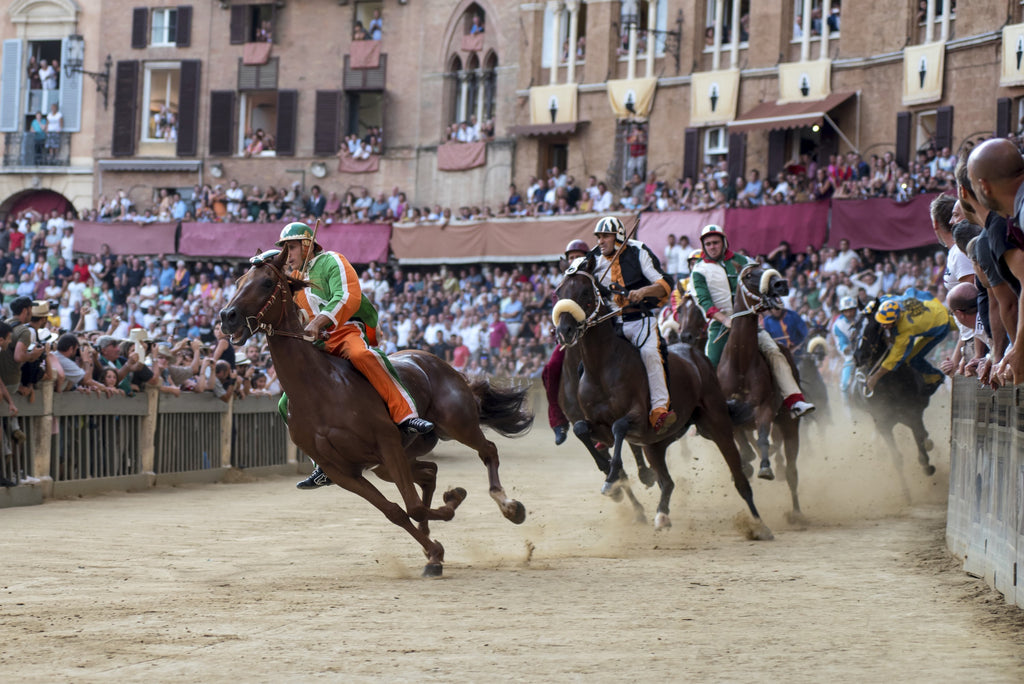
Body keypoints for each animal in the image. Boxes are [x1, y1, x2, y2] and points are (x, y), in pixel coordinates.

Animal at [221, 248, 532, 573]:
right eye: (238, 280)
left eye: (267, 282)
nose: (227, 317)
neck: (319, 389)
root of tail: (435, 361)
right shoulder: (342, 471)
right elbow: (396, 511)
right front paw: (435, 547)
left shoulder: (386, 443)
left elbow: (413, 506)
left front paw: (447, 516)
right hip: (391, 462)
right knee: (430, 472)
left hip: (457, 425)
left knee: (488, 450)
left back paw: (509, 506)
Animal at [552, 253, 770, 536]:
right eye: (559, 292)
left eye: (585, 291)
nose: (564, 331)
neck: (602, 366)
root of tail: (696, 355)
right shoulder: (598, 426)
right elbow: (581, 429)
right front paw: (611, 474)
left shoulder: (637, 417)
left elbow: (620, 427)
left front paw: (612, 478)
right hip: (657, 443)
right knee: (668, 482)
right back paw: (662, 515)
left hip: (716, 424)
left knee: (740, 477)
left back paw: (760, 524)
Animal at [716, 264, 802, 520]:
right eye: (748, 275)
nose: (781, 284)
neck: (740, 365)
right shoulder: (730, 417)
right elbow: (744, 447)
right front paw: (745, 466)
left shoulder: (764, 408)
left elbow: (763, 438)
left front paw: (765, 468)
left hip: (789, 424)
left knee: (792, 471)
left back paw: (796, 512)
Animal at [851, 305, 937, 481]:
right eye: (855, 326)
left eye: (874, 327)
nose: (859, 356)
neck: (888, 384)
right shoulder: (883, 423)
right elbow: (897, 459)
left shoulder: (912, 414)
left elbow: (922, 451)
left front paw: (927, 465)